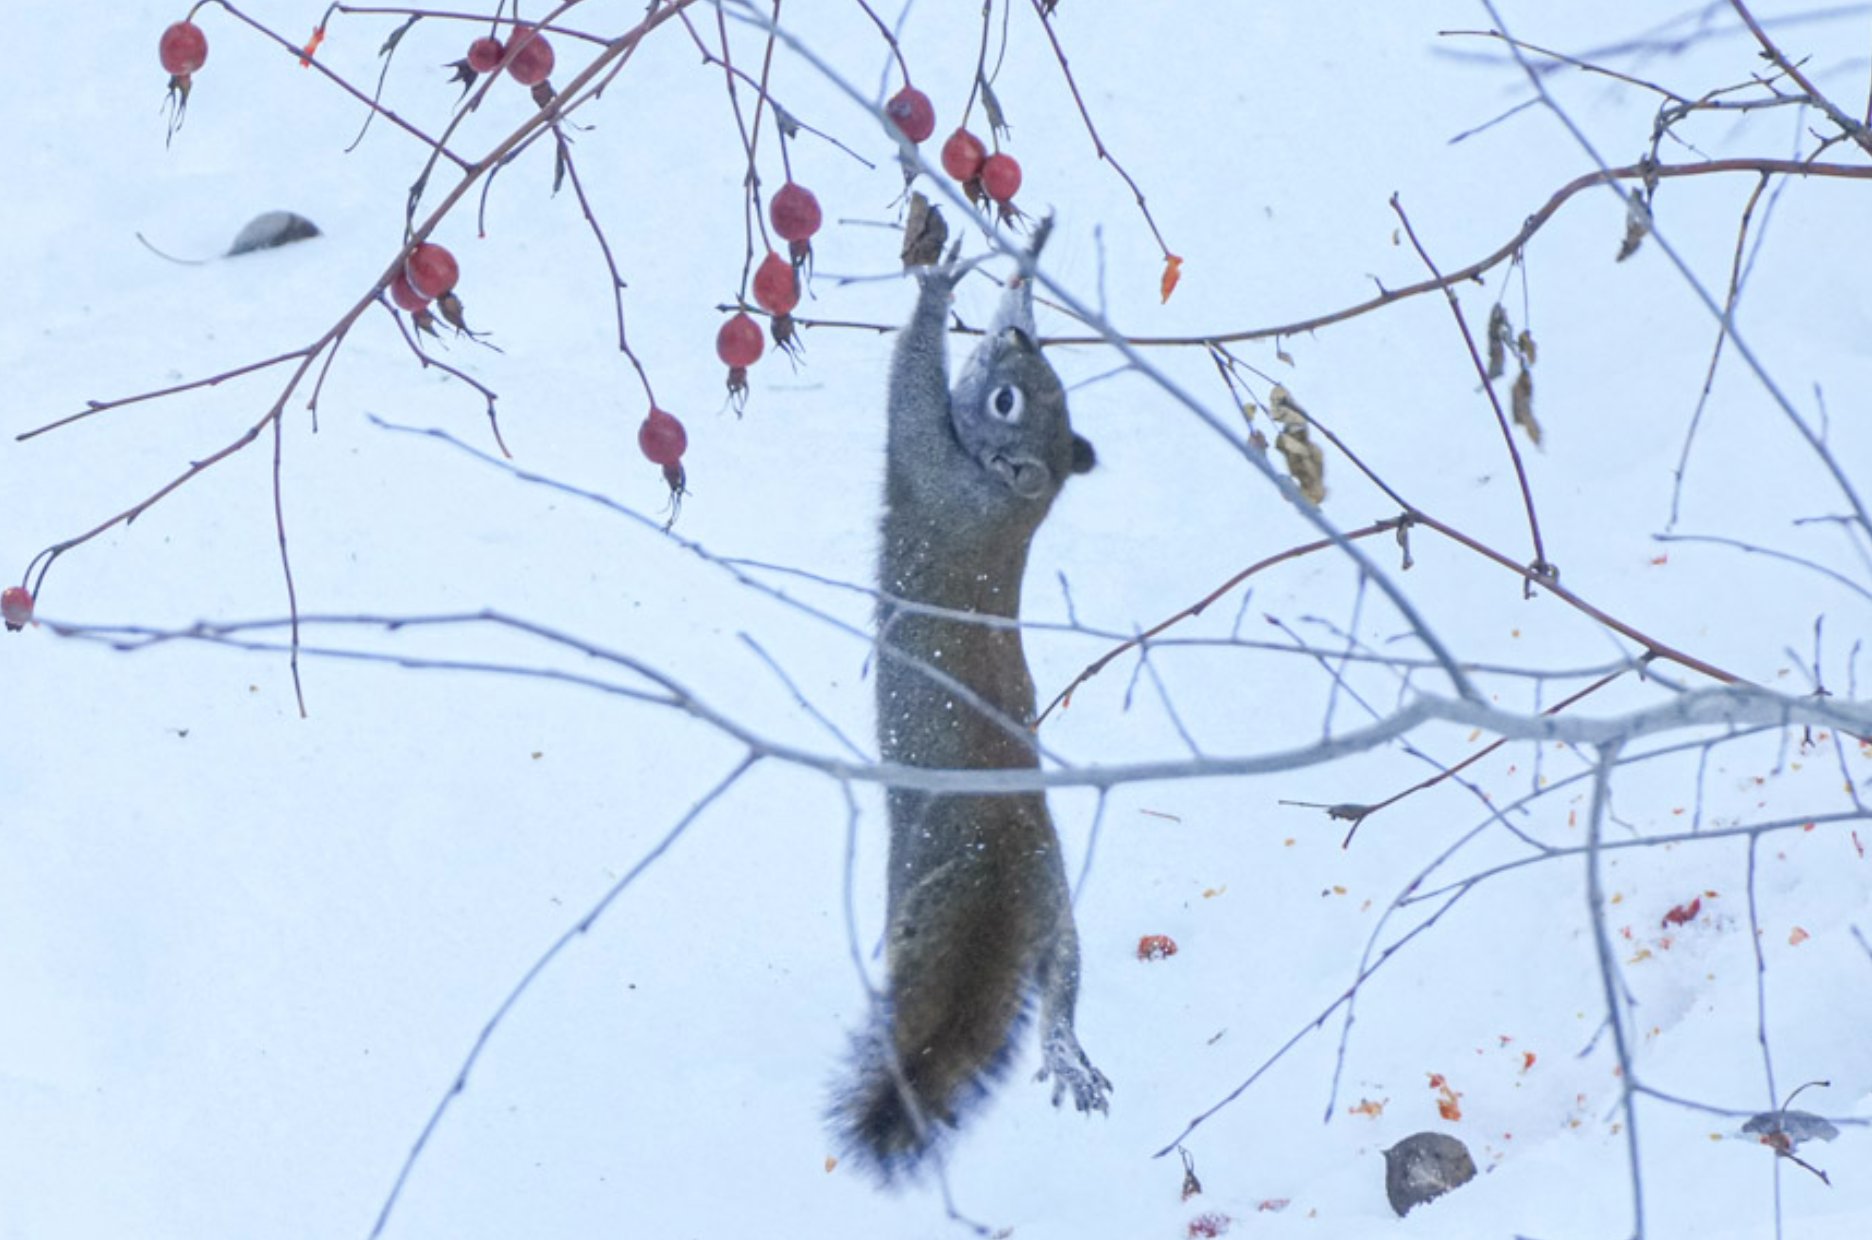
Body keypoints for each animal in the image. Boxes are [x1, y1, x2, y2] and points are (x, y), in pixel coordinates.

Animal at [834, 216, 1109, 1180]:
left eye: (1006, 404)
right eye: (1031, 383)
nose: (1018, 342)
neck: (1011, 503)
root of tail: (1003, 854)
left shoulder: (927, 461)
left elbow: (909, 385)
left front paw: (938, 287)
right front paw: (1024, 258)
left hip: (909, 884)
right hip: (1062, 901)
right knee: (1063, 978)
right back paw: (1068, 1051)